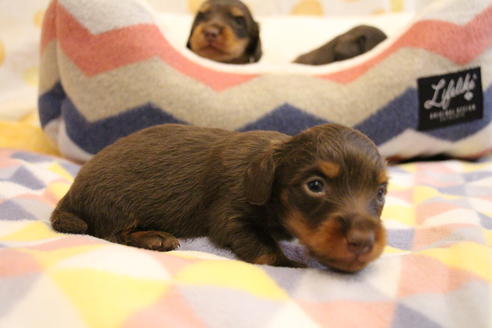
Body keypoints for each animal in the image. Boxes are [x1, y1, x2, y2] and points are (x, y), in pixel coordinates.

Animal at [51, 123, 388, 272]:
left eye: (381, 192)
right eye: (315, 185)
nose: (363, 243)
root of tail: (72, 192)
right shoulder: (231, 211)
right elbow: (263, 250)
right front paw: (291, 263)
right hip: (114, 202)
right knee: (109, 232)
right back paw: (154, 237)